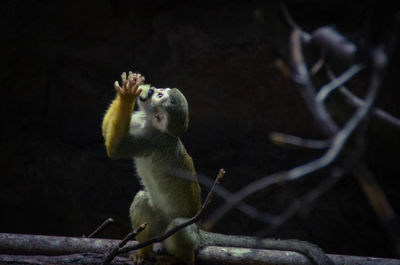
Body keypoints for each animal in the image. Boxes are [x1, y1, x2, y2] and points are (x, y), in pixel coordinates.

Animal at [101, 71, 332, 264]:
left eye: (159, 95)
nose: (152, 89)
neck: (152, 124)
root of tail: (200, 230)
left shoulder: (151, 140)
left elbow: (116, 150)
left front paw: (128, 94)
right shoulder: (140, 121)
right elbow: (106, 133)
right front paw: (128, 87)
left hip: (183, 231)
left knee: (179, 226)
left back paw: (183, 259)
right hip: (160, 230)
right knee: (142, 199)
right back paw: (144, 252)